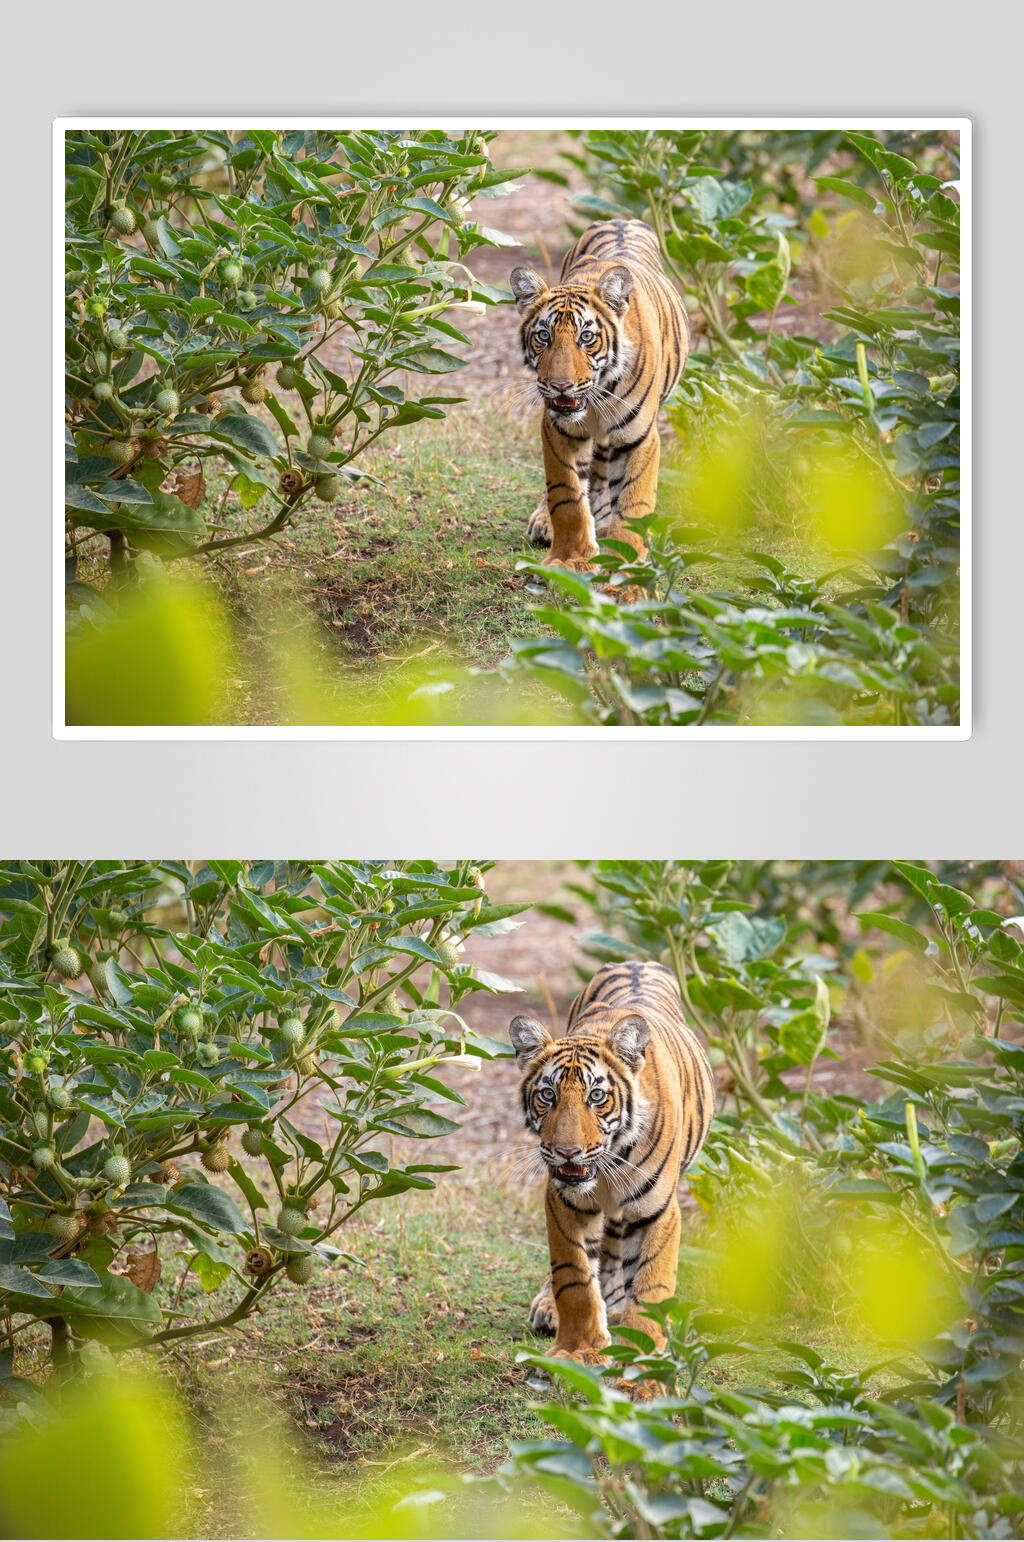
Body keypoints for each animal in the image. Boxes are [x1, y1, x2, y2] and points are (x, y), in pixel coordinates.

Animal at [508, 958, 715, 1366]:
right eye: (547, 1095)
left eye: (597, 1096)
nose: (567, 1151)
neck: (608, 1164)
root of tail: (637, 961)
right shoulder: (562, 1201)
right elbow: (573, 1278)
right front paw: (578, 1348)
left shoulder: (658, 1211)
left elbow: (651, 1285)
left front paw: (642, 1355)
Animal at [510, 219, 688, 573]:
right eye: (543, 336)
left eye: (587, 337)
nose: (560, 385)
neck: (597, 397)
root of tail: (622, 220)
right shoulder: (557, 429)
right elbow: (566, 496)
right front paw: (570, 557)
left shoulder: (640, 438)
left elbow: (634, 502)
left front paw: (628, 561)